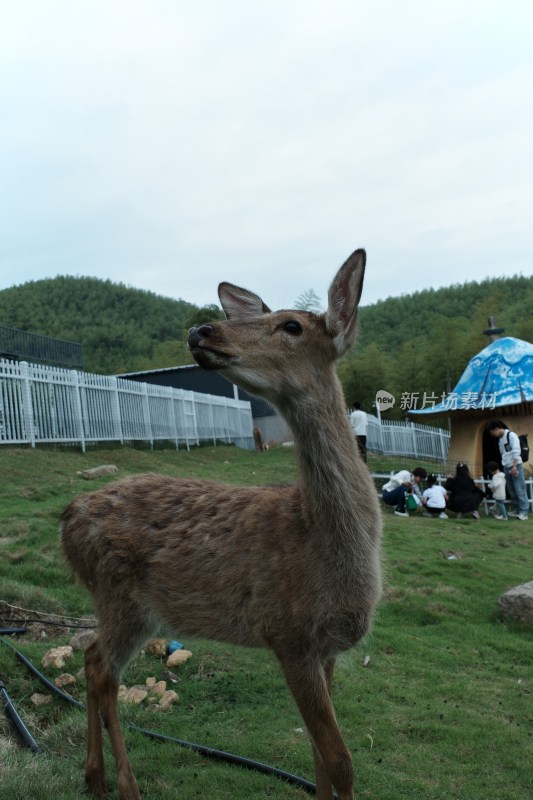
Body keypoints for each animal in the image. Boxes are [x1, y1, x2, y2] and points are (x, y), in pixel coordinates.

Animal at [59, 248, 382, 800]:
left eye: (291, 325)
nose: (200, 330)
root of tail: (67, 522)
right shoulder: (286, 631)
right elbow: (341, 761)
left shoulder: (326, 649)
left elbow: (319, 759)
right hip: (119, 594)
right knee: (103, 670)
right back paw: (125, 784)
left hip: (128, 605)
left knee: (92, 660)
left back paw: (94, 776)